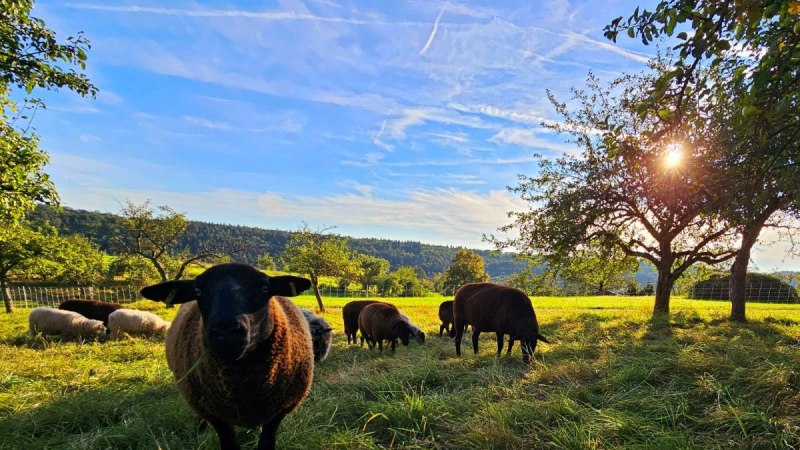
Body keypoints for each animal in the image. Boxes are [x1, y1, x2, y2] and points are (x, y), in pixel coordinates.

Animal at [139, 263, 314, 450]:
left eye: (264, 288)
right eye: (197, 291)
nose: (226, 330)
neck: (244, 387)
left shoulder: (280, 410)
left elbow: (266, 443)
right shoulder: (215, 415)